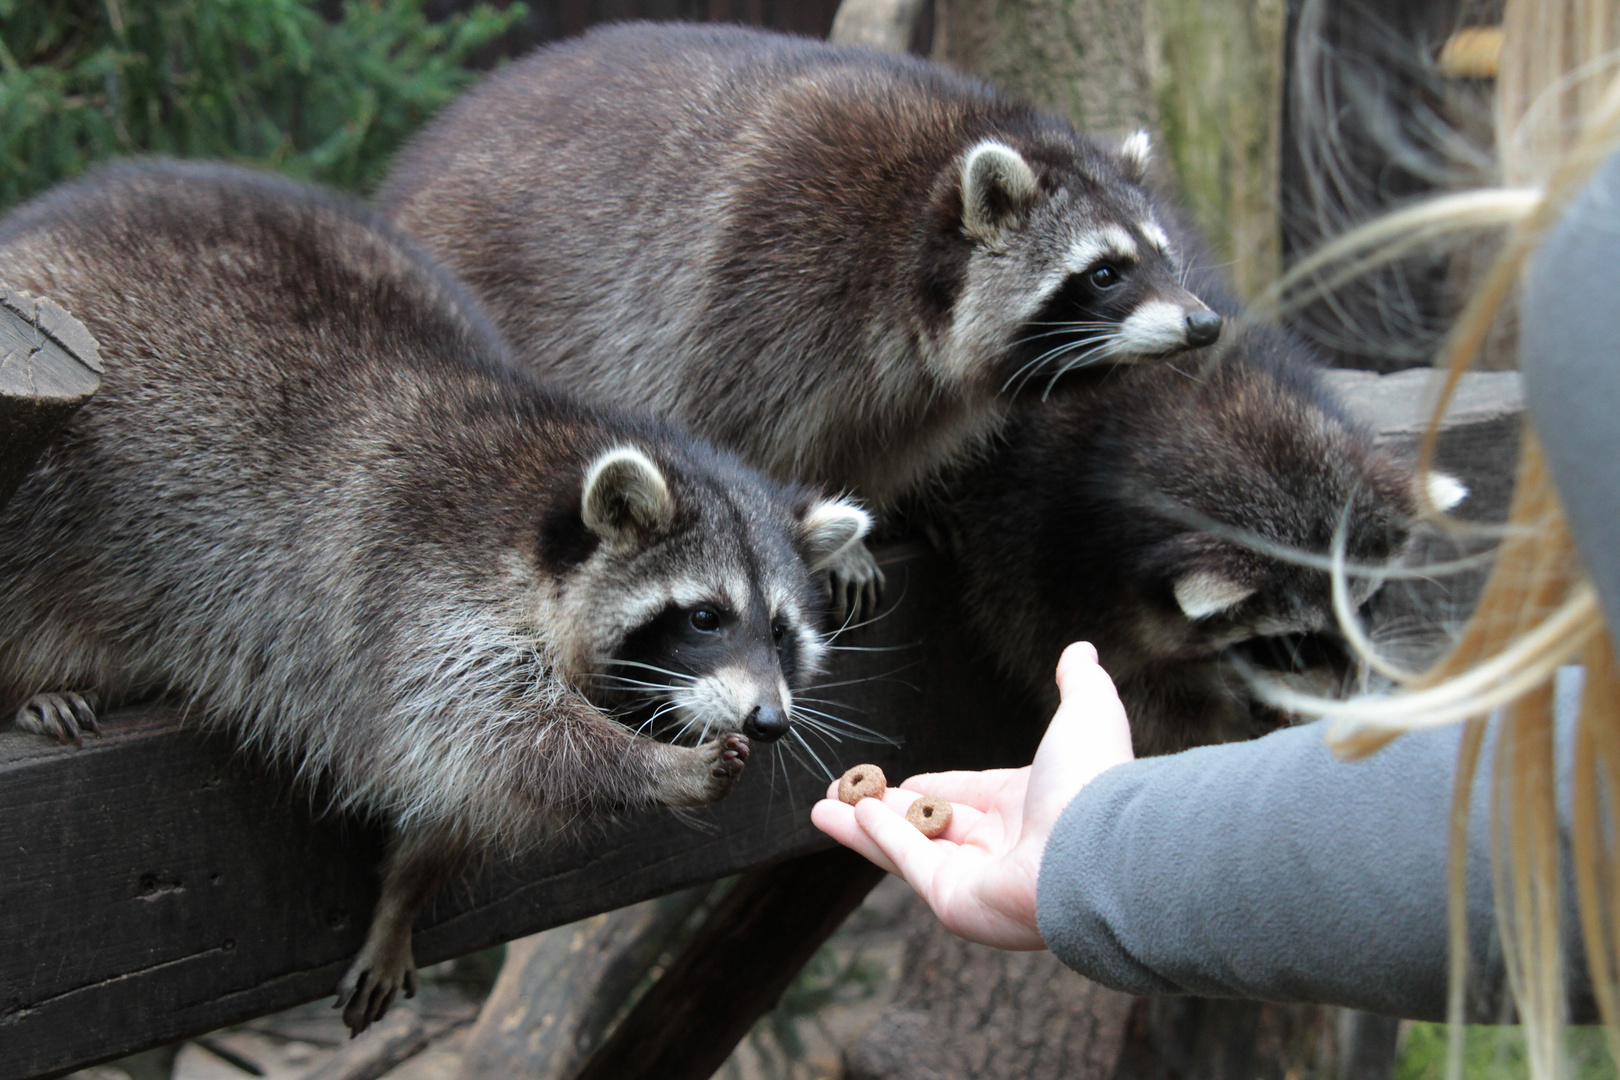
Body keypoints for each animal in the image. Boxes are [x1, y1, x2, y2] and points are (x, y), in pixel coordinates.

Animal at [0, 158, 874, 1029]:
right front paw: (651, 767)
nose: (769, 720)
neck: (541, 487)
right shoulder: (418, 588)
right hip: (57, 490)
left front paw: (406, 895)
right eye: (703, 617)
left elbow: (462, 797)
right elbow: (481, 737)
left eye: (782, 633)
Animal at [375, 19, 1218, 615]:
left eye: (1165, 258)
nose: (1204, 325)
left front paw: (901, 501)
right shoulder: (770, 276)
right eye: (1105, 273)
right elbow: (740, 428)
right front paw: (829, 531)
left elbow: (897, 433)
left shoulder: (921, 390)